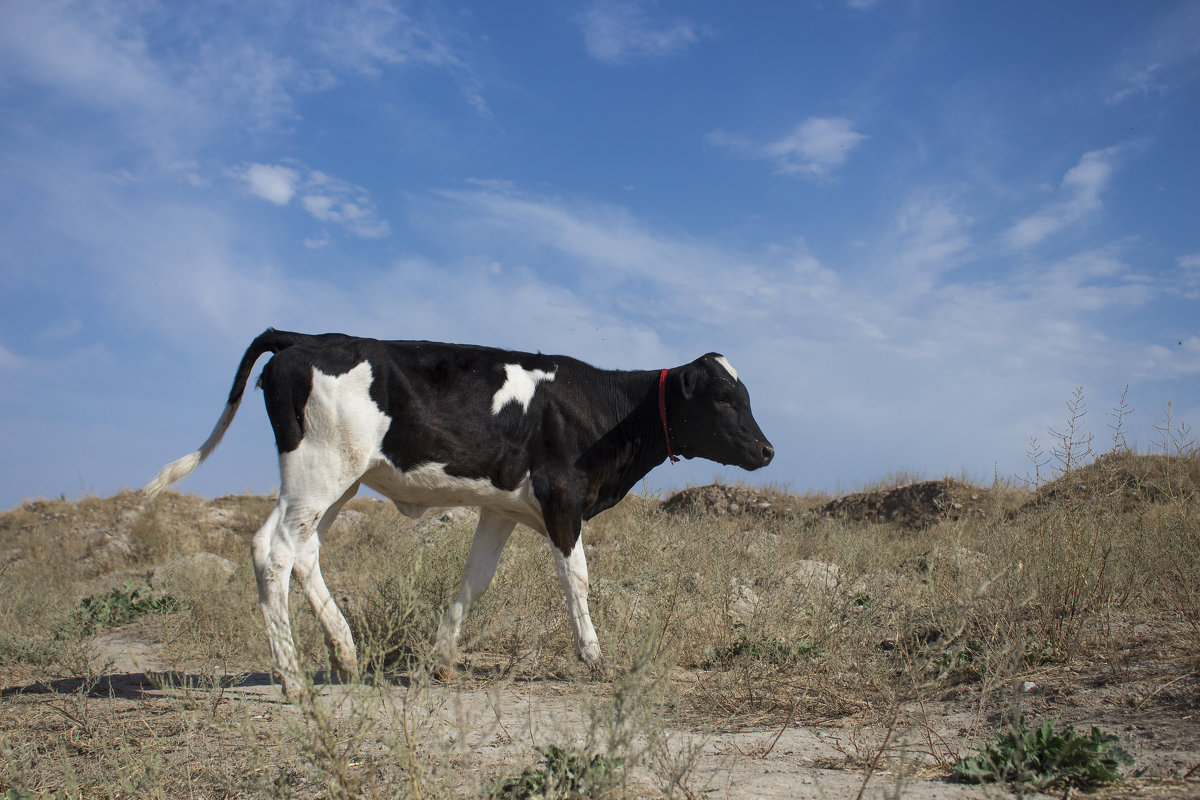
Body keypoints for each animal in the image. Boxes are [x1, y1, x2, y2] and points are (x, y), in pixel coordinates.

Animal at [145, 328, 772, 695]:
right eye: (724, 398)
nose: (767, 450)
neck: (604, 410)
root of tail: (305, 338)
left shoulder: (502, 507)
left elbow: (476, 578)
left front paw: (440, 657)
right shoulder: (562, 497)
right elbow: (577, 578)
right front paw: (594, 658)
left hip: (336, 480)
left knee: (295, 550)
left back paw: (344, 655)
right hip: (318, 472)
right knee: (275, 553)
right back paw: (294, 679)